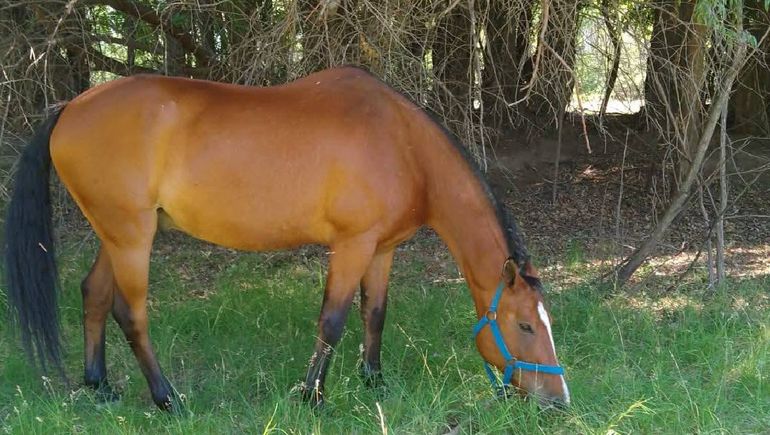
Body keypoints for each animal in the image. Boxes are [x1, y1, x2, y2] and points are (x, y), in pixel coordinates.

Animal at [4, 66, 569, 412]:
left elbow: (374, 313)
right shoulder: (352, 246)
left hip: (117, 235)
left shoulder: (382, 249)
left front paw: (373, 380)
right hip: (131, 239)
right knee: (131, 314)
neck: (403, 145)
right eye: (523, 325)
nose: (558, 399)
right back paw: (167, 399)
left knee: (94, 295)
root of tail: (71, 105)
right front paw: (312, 396)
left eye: (547, 322)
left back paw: (99, 386)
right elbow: (333, 320)